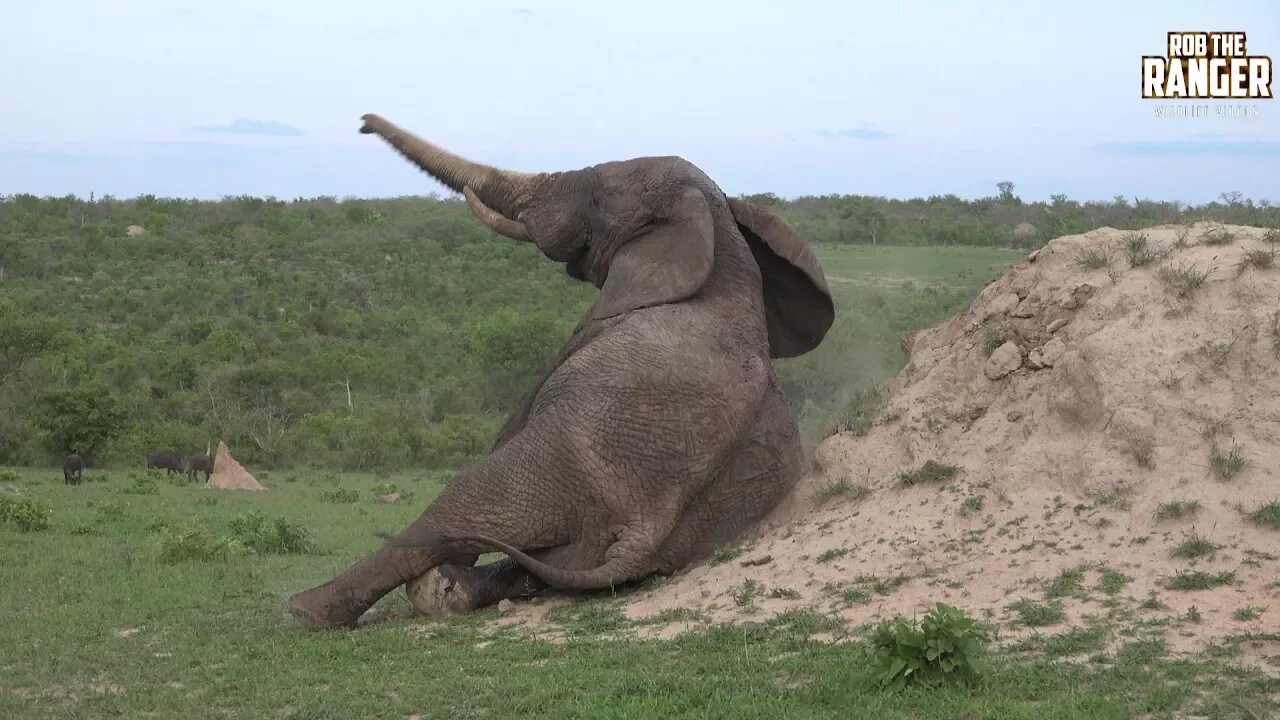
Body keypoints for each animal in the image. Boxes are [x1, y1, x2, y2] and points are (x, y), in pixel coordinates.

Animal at [285, 112, 834, 627]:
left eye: (596, 195)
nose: (362, 123)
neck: (720, 234)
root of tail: (642, 531)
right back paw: (446, 591)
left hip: (557, 458)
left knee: (464, 500)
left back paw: (310, 609)